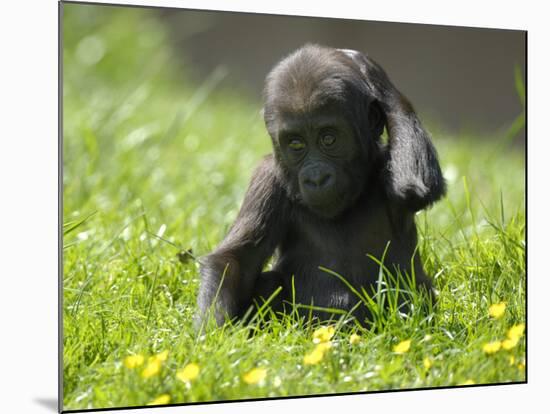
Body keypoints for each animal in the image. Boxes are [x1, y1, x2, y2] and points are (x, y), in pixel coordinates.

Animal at [196, 42, 446, 326]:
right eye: (296, 144)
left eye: (329, 139)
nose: (316, 178)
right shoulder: (267, 177)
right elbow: (234, 261)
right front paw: (212, 331)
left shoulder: (390, 167)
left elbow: (415, 187)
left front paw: (368, 69)